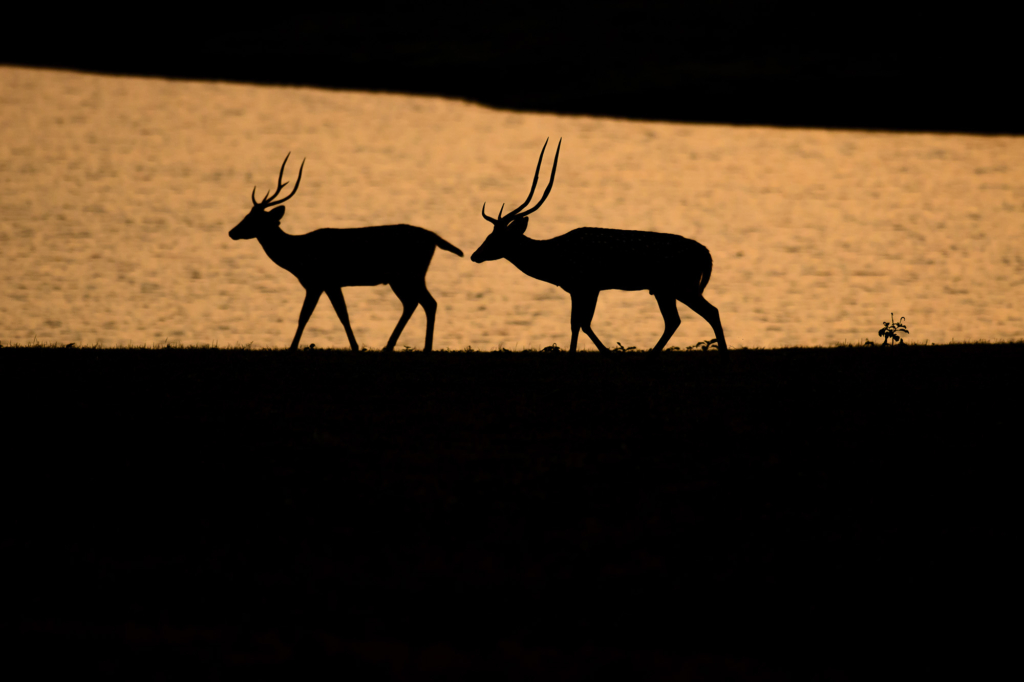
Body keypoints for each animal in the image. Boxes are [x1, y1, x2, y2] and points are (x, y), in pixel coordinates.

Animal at [231, 153, 464, 350]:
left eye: (253, 219)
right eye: (247, 215)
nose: (231, 232)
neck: (298, 257)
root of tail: (433, 237)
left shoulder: (320, 280)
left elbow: (308, 315)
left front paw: (293, 348)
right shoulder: (329, 283)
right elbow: (341, 314)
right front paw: (355, 346)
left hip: (410, 273)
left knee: (427, 302)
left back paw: (422, 348)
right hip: (403, 276)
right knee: (415, 303)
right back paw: (391, 346)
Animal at [471, 137, 729, 350]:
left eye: (495, 238)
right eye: (488, 236)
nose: (475, 255)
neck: (555, 262)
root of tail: (706, 253)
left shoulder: (586, 284)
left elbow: (581, 324)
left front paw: (603, 353)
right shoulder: (581, 288)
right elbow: (578, 324)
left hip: (679, 284)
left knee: (708, 312)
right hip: (666, 288)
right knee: (676, 320)